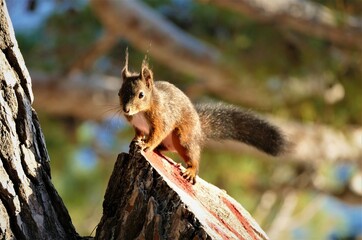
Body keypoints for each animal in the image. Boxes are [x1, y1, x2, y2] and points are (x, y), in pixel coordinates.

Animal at [119, 49, 288, 184]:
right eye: (120, 93)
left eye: (141, 95)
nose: (126, 110)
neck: (140, 112)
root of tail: (199, 129)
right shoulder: (137, 125)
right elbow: (139, 133)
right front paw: (136, 140)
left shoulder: (162, 118)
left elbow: (157, 133)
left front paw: (147, 145)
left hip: (182, 137)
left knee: (192, 155)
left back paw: (191, 171)